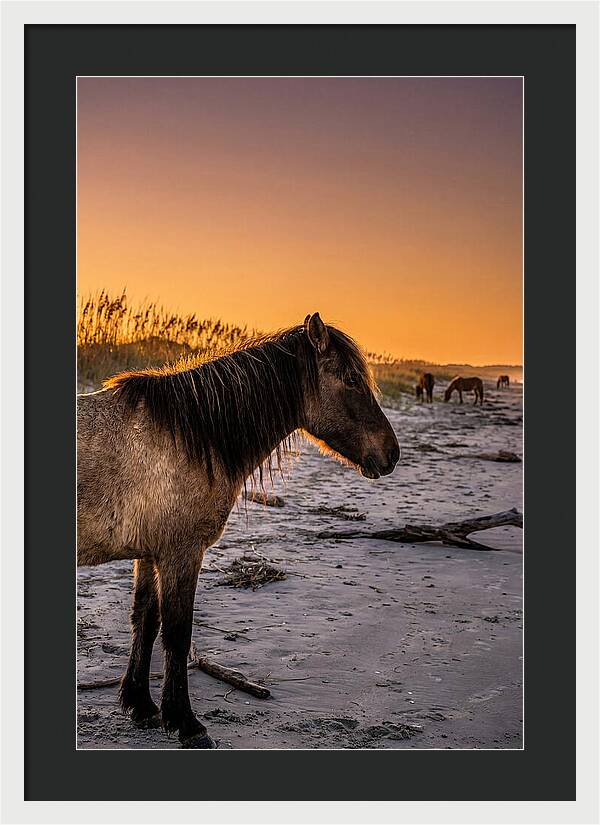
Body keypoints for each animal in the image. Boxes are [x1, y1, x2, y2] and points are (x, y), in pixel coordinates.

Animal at [77, 313, 400, 748]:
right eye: (351, 379)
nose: (392, 454)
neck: (191, 435)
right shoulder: (182, 552)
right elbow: (177, 632)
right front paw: (185, 723)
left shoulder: (150, 553)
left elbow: (145, 619)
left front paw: (141, 705)